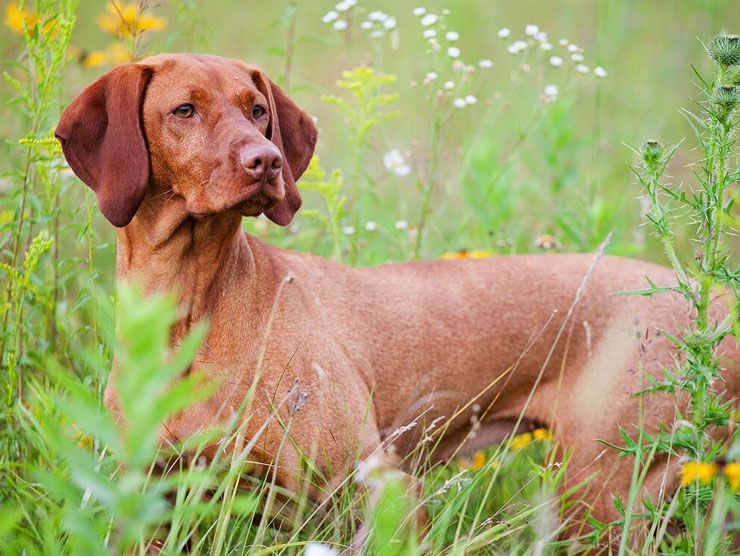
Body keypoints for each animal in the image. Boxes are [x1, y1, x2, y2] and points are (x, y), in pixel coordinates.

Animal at [53, 54, 740, 544]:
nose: (267, 161)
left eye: (258, 110)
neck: (187, 309)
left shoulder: (384, 490)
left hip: (602, 489)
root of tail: (714, 303)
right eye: (184, 109)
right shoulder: (154, 501)